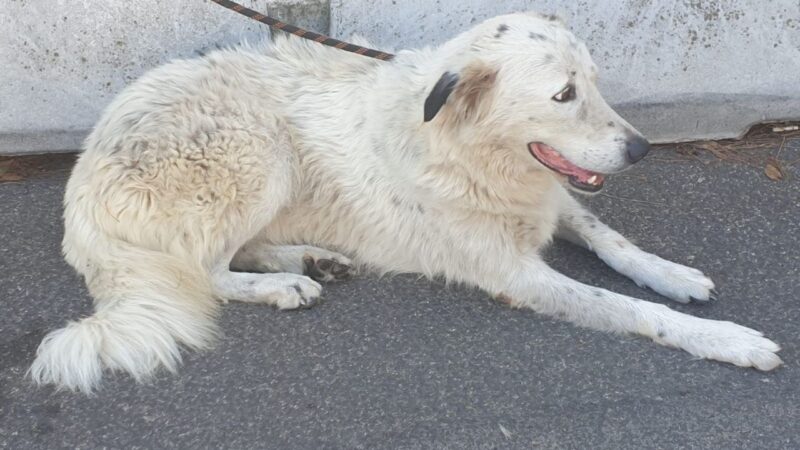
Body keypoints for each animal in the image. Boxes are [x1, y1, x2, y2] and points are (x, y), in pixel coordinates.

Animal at [31, 9, 780, 390]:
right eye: (564, 94)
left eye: (595, 81)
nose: (641, 149)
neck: (465, 147)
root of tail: (81, 187)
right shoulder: (516, 274)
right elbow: (631, 310)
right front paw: (727, 339)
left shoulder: (550, 200)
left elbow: (613, 242)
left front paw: (672, 273)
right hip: (260, 151)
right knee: (208, 270)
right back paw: (283, 285)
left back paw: (309, 259)